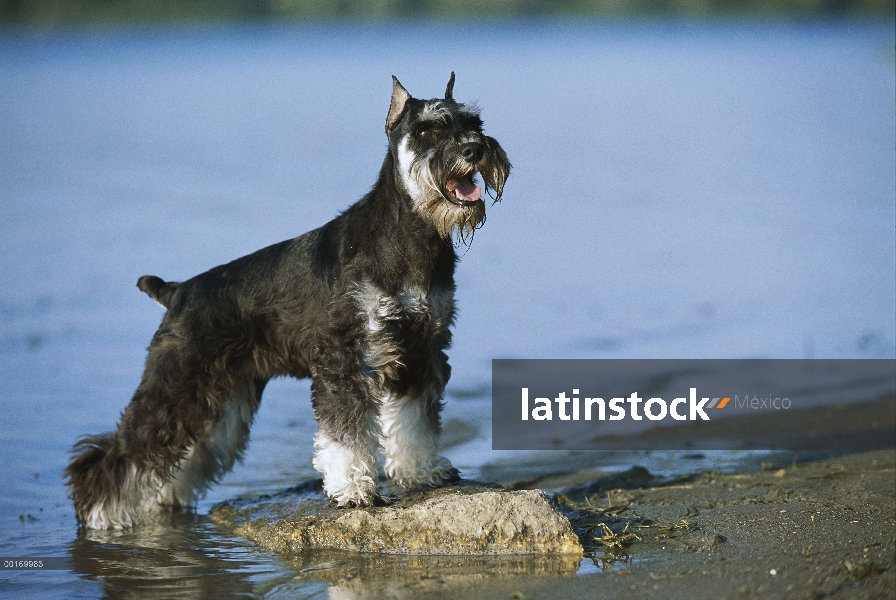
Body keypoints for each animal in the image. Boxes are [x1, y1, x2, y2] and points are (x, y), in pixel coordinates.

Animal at [65, 72, 512, 528]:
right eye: (425, 131)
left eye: (474, 123)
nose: (474, 149)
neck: (409, 236)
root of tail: (177, 291)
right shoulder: (346, 359)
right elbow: (346, 433)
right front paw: (353, 490)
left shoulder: (420, 350)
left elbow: (414, 418)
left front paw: (423, 471)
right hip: (176, 386)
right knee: (120, 455)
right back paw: (101, 514)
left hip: (219, 404)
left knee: (183, 457)